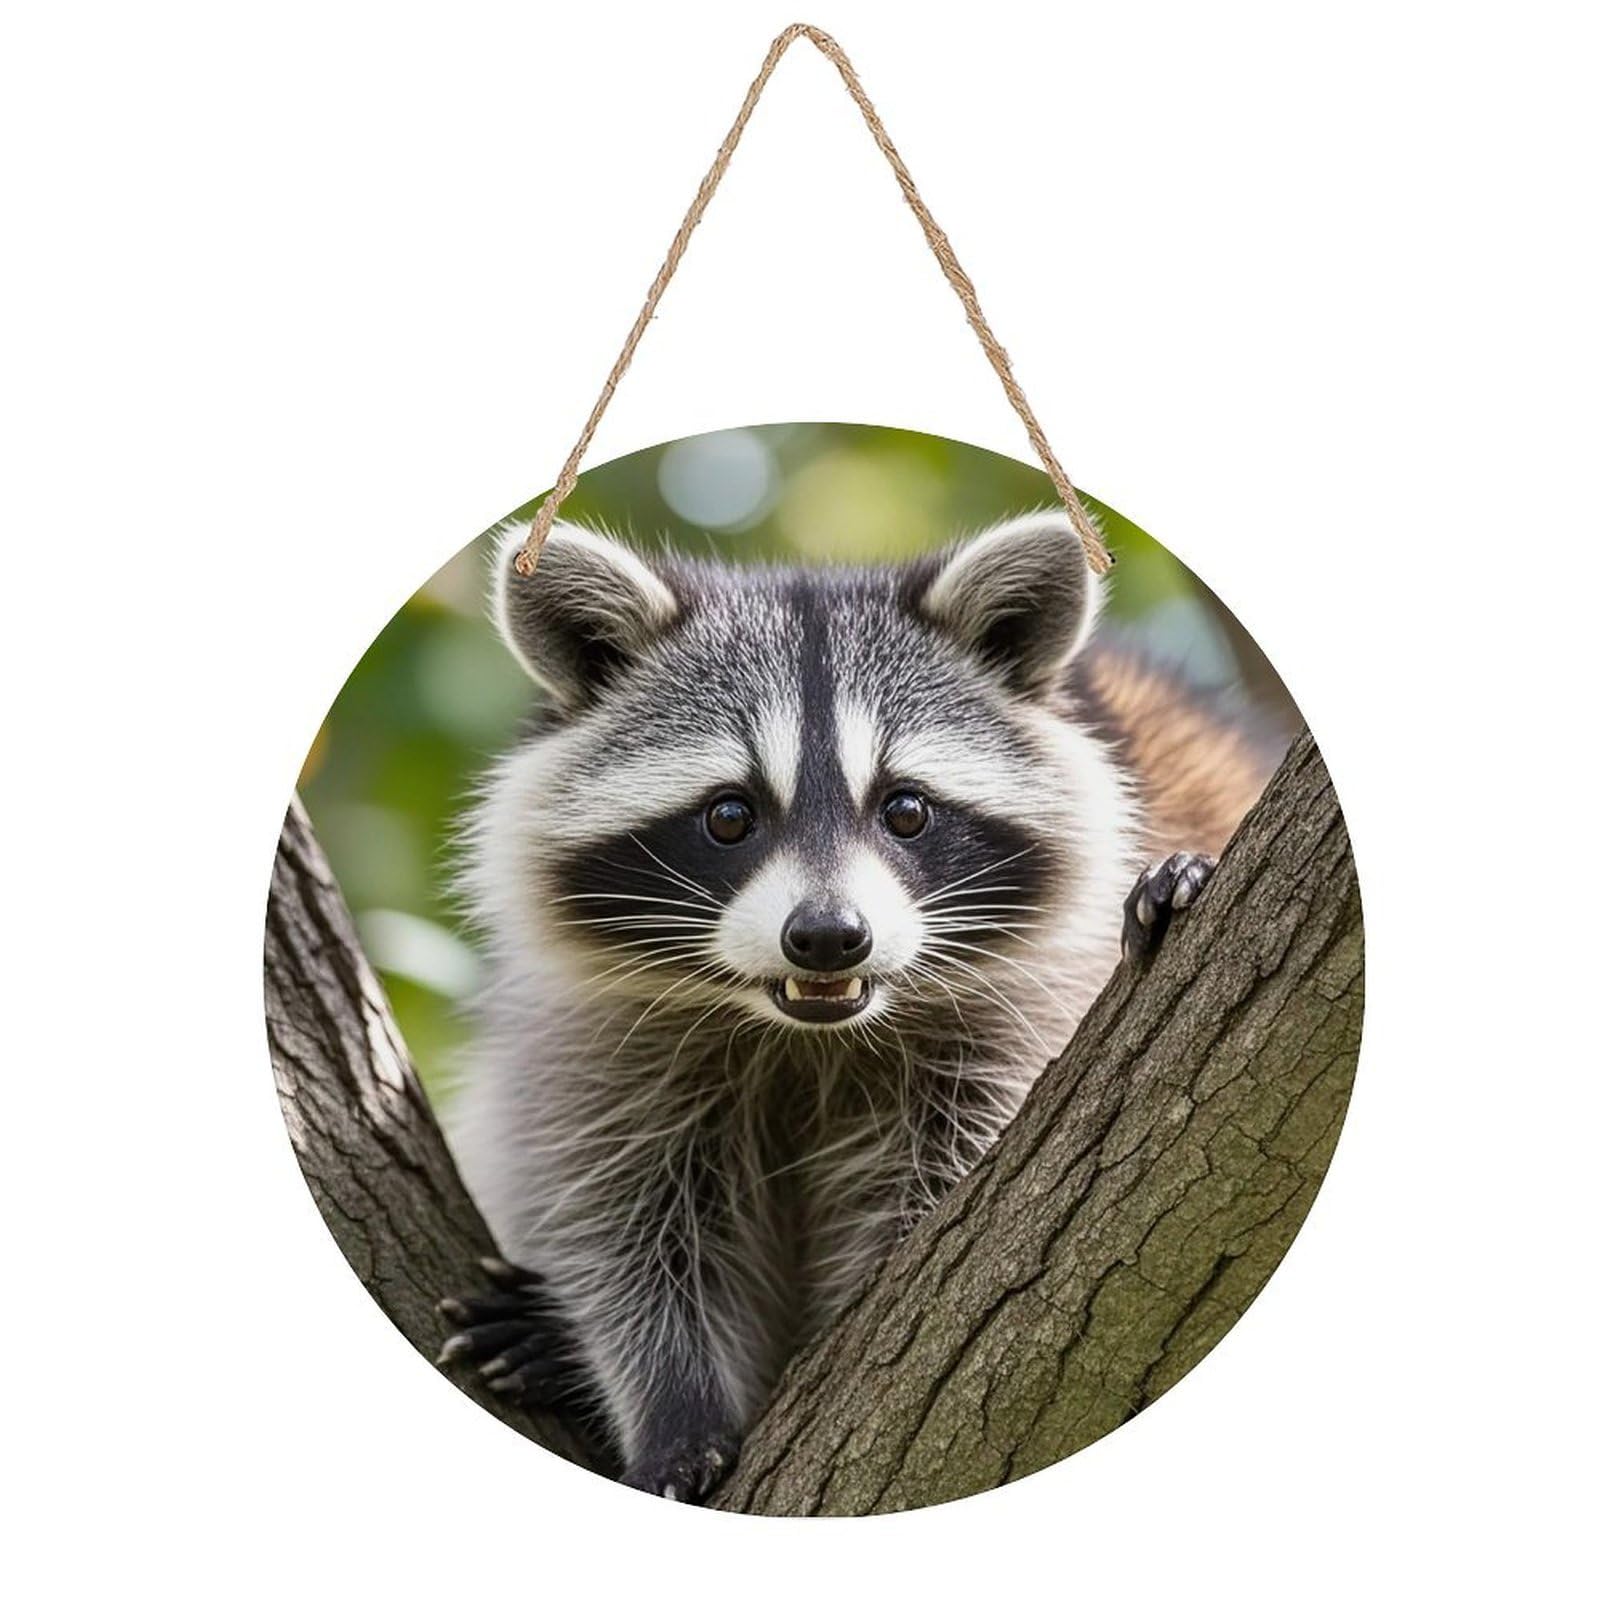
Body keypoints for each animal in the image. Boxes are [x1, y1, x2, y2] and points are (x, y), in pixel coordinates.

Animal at [436, 511, 1275, 1500]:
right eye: (730, 816)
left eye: (905, 809)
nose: (830, 938)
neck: (805, 1033)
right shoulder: (603, 1033)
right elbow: (622, 1214)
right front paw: (672, 1407)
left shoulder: (1030, 1014)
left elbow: (954, 1176)